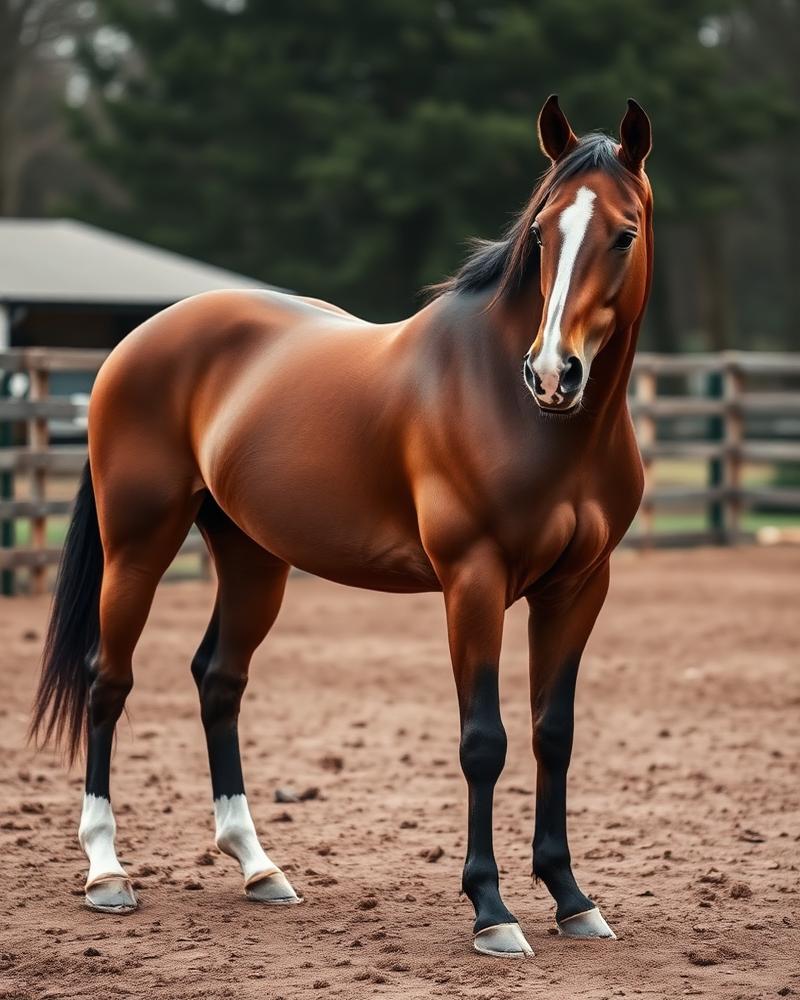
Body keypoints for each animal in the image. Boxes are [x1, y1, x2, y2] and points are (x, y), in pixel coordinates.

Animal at [31, 94, 653, 959]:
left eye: (623, 233)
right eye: (540, 233)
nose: (551, 374)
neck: (524, 413)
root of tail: (138, 340)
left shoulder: (579, 587)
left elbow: (551, 734)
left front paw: (572, 899)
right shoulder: (473, 581)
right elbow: (484, 740)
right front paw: (491, 911)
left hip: (253, 559)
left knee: (218, 679)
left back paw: (258, 866)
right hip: (138, 546)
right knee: (106, 680)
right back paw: (106, 872)